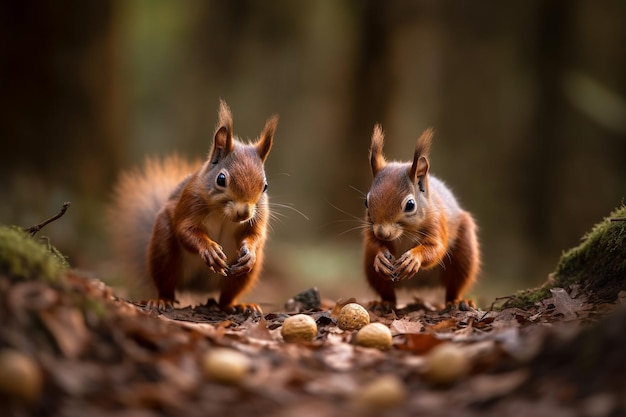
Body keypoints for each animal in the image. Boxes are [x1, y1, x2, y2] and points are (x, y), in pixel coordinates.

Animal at [107, 99, 276, 310]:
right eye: (221, 179)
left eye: (265, 186)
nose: (244, 213)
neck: (224, 215)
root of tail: (195, 286)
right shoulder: (190, 201)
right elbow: (185, 229)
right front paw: (209, 249)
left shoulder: (259, 215)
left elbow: (256, 235)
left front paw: (249, 252)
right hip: (163, 248)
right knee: (166, 284)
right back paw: (162, 300)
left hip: (242, 276)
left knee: (226, 297)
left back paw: (238, 305)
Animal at [360, 125, 478, 310]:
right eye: (366, 201)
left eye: (410, 205)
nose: (382, 233)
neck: (405, 232)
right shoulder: (370, 228)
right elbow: (373, 243)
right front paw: (379, 257)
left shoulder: (437, 221)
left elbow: (436, 247)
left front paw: (413, 258)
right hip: (372, 271)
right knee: (387, 292)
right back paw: (383, 303)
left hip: (464, 255)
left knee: (455, 285)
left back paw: (458, 301)